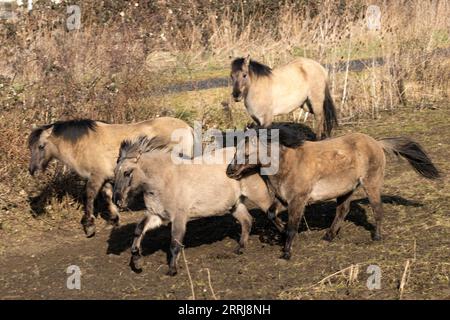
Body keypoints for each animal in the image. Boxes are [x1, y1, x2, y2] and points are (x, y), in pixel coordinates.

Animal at [111, 136, 274, 276]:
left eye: (127, 172)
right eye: (115, 173)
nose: (117, 201)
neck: (164, 180)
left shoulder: (179, 217)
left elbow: (175, 243)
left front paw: (172, 270)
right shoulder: (156, 215)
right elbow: (139, 229)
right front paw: (137, 260)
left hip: (258, 195)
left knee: (271, 212)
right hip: (234, 204)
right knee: (247, 220)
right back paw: (240, 248)